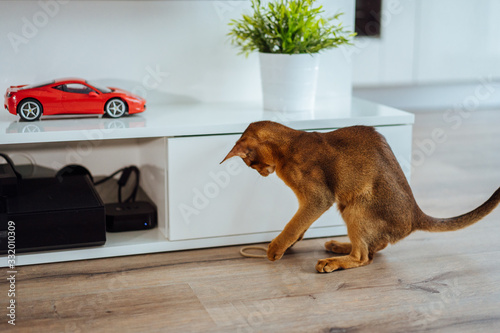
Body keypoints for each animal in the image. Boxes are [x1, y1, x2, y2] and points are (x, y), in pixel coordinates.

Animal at [220, 120, 500, 272]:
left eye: (250, 163)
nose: (261, 172)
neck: (291, 142)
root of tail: (416, 215)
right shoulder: (312, 204)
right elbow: (300, 224)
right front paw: (292, 244)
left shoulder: (319, 198)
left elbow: (293, 223)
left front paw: (276, 248)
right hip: (348, 206)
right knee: (375, 247)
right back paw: (338, 245)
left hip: (357, 206)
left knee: (364, 257)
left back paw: (331, 262)